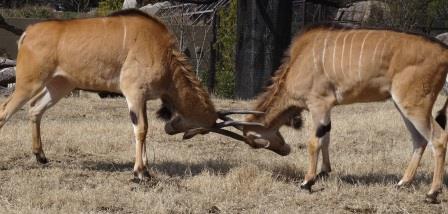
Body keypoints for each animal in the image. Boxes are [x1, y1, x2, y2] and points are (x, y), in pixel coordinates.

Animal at [0, 10, 260, 180]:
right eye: (203, 129)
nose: (172, 129)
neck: (163, 52)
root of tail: (28, 33)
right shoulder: (133, 93)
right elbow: (141, 129)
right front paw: (139, 173)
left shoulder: (142, 99)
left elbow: (144, 130)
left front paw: (146, 170)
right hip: (28, 83)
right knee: (5, 111)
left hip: (60, 85)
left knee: (35, 109)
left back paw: (41, 157)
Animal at [231, 24, 448, 203]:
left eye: (255, 142)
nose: (286, 150)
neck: (298, 60)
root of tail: (444, 51)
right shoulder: (327, 108)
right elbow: (326, 138)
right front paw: (324, 172)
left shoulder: (318, 103)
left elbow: (314, 142)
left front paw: (307, 182)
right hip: (402, 105)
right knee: (419, 141)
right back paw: (403, 182)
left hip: (414, 105)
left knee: (438, 139)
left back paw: (431, 193)